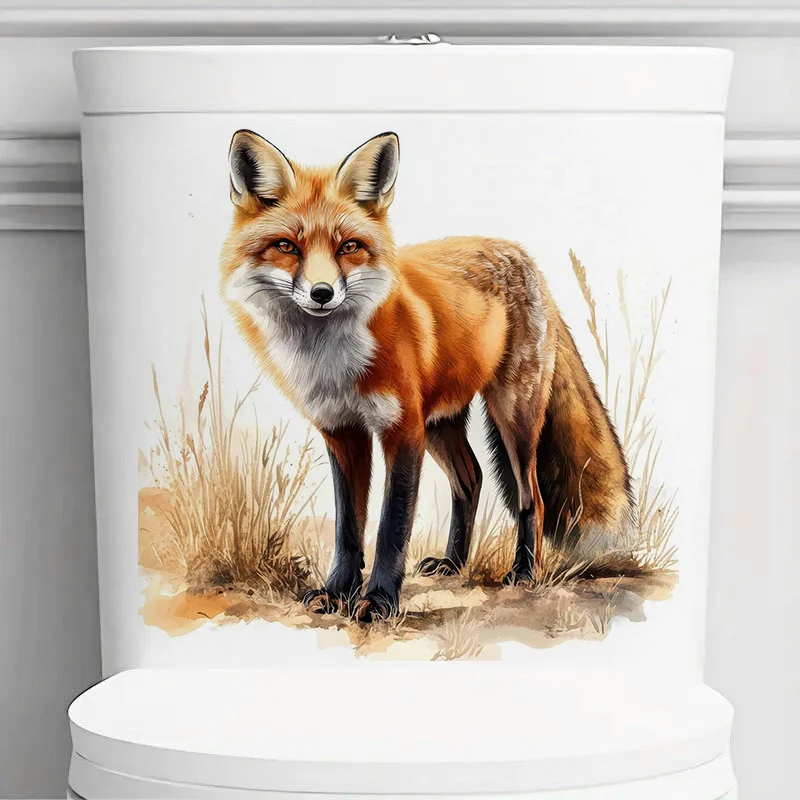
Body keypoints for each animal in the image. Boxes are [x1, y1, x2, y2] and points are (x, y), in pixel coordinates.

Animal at [220, 129, 634, 623]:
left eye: (348, 247)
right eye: (287, 247)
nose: (322, 293)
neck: (331, 360)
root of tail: (524, 257)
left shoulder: (402, 429)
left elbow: (391, 526)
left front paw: (379, 600)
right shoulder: (342, 432)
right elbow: (348, 528)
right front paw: (337, 592)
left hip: (511, 413)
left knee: (530, 496)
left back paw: (523, 572)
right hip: (441, 421)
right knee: (471, 479)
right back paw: (454, 563)